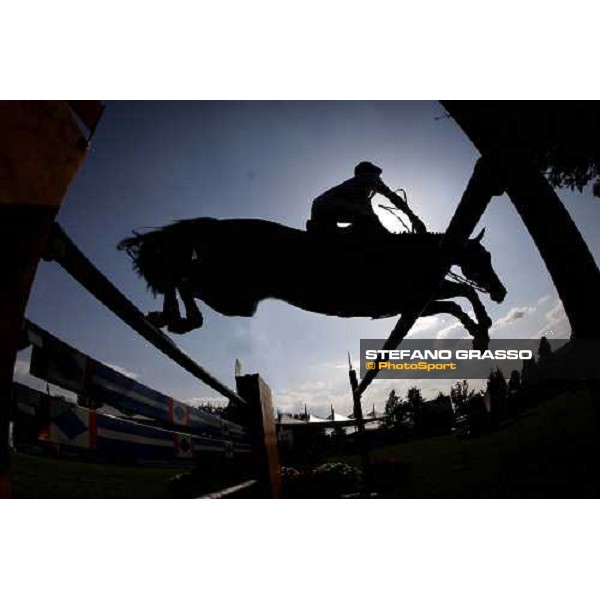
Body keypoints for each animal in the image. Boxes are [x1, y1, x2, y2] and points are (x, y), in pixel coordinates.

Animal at [118, 217, 506, 346]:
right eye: (483, 258)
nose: (501, 293)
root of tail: (215, 225)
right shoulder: (409, 301)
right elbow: (460, 294)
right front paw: (482, 329)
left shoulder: (412, 305)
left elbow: (455, 300)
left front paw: (479, 331)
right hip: (233, 294)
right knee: (185, 281)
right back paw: (177, 319)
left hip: (237, 299)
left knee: (182, 279)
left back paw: (167, 317)